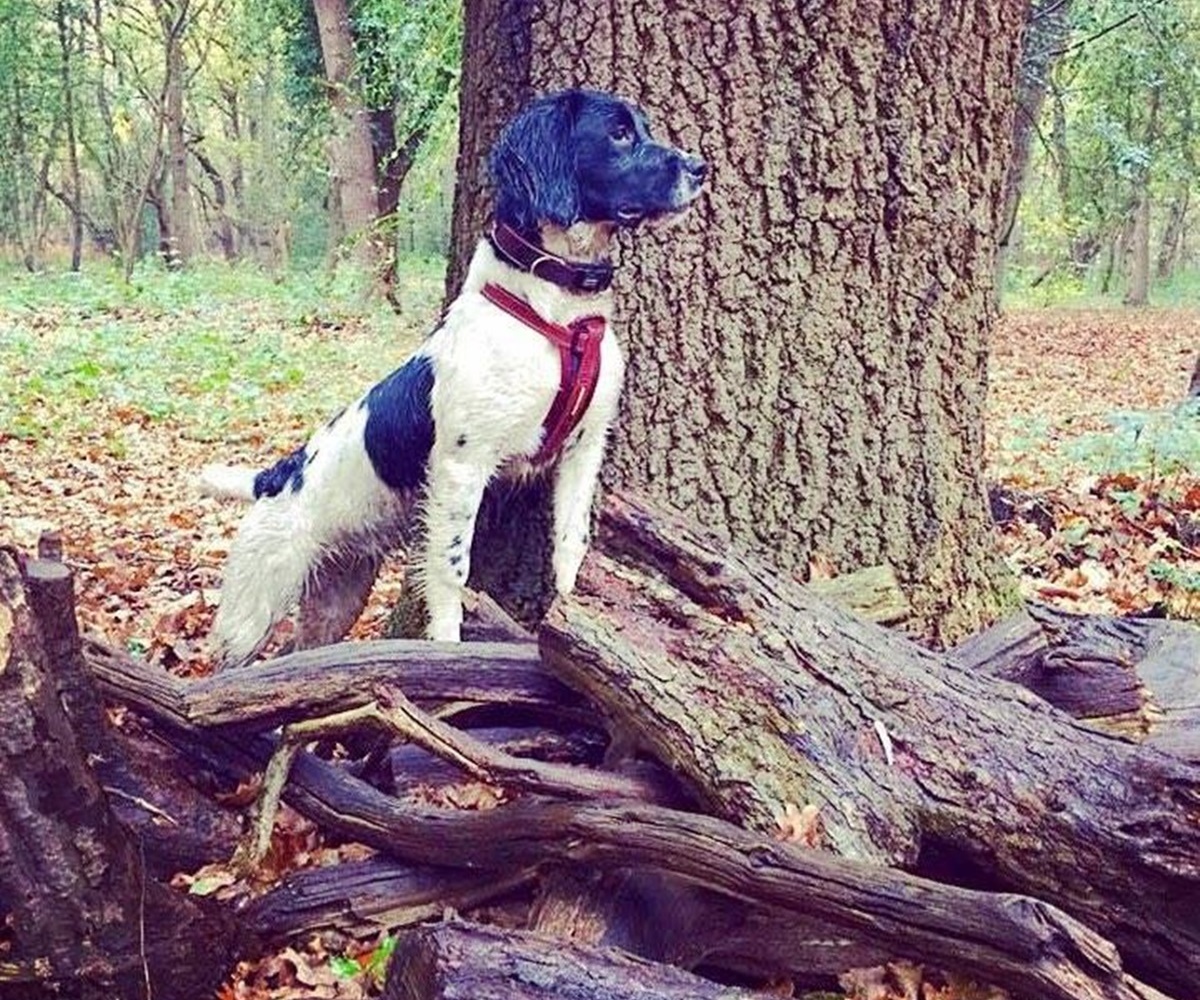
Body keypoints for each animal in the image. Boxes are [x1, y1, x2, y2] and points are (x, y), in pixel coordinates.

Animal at [195, 90, 700, 667]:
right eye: (619, 134)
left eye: (643, 127)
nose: (700, 167)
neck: (556, 315)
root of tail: (271, 477)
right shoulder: (463, 466)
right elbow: (452, 572)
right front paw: (447, 648)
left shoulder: (584, 448)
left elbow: (571, 545)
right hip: (253, 607)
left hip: (336, 597)